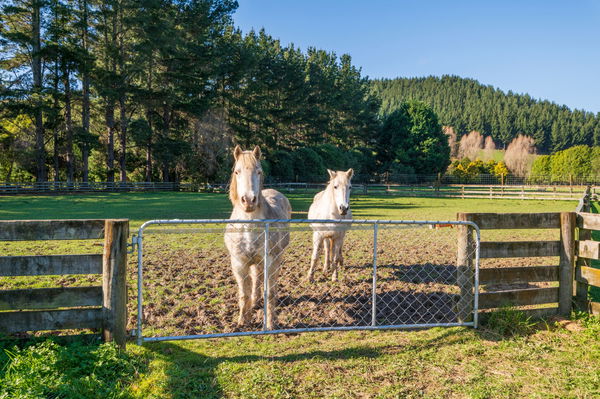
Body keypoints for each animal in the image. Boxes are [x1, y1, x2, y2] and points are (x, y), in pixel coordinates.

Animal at [224, 145, 292, 330]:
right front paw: (243, 320)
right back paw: (255, 302)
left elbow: (270, 292)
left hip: (275, 258)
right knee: (256, 279)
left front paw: (271, 323)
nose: (248, 200)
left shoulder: (270, 261)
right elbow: (244, 293)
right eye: (237, 171)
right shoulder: (239, 263)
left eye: (259, 171)